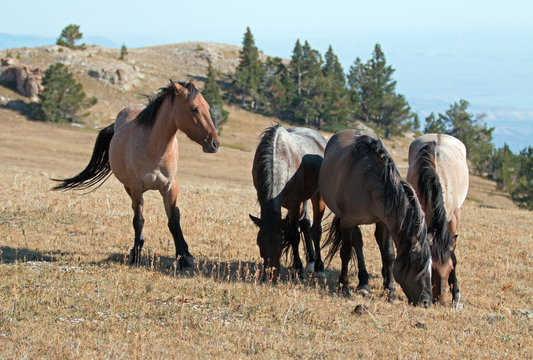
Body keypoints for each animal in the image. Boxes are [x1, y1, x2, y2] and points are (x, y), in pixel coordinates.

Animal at [53, 80, 219, 268]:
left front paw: (183, 258)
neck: (155, 149)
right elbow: (138, 220)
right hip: (129, 188)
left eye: (207, 107)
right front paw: (137, 255)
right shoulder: (136, 187)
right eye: (194, 108)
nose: (214, 143)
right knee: (136, 211)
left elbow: (173, 221)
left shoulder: (170, 188)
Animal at [247, 125, 326, 280]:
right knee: (305, 223)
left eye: (280, 244)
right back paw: (311, 262)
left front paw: (298, 269)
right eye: (259, 243)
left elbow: (294, 235)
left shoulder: (294, 204)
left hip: (317, 197)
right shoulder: (263, 199)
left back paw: (319, 267)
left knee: (316, 230)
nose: (269, 274)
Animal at [318, 130, 434, 306]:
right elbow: (346, 253)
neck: (368, 181)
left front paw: (390, 291)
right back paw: (362, 282)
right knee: (357, 243)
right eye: (417, 265)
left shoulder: (384, 222)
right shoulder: (347, 222)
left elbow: (389, 254)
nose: (427, 301)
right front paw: (343, 288)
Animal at [406, 132, 468, 304]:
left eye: (451, 268)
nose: (440, 300)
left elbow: (453, 251)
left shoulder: (453, 219)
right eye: (431, 268)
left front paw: (456, 294)